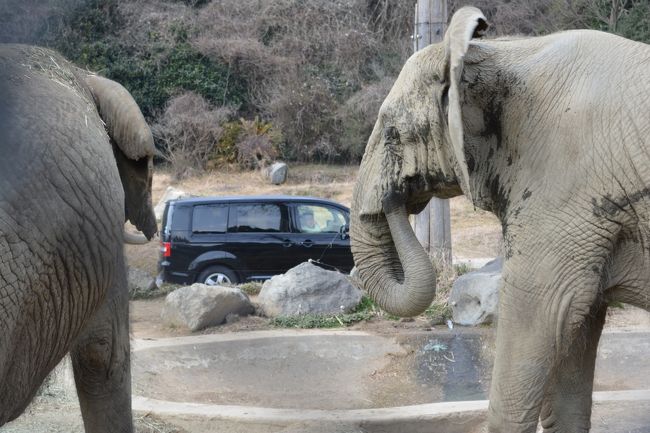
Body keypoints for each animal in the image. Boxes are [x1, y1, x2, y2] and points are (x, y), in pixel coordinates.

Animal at [352, 6, 644, 432]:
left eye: (392, 132)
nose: (393, 196)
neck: (500, 51)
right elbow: (579, 321)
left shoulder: (563, 183)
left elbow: (543, 309)